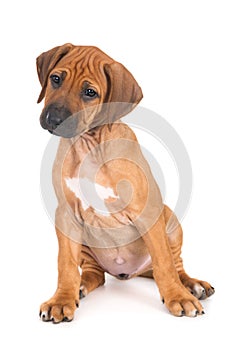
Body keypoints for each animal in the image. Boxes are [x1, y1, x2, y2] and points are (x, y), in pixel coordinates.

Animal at [36, 43, 215, 322]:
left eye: (90, 93)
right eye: (56, 79)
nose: (53, 120)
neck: (91, 144)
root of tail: (130, 273)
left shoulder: (148, 212)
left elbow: (164, 263)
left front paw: (177, 297)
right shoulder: (66, 215)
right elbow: (65, 263)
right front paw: (61, 299)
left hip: (170, 222)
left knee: (173, 264)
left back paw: (191, 285)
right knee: (94, 273)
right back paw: (80, 286)